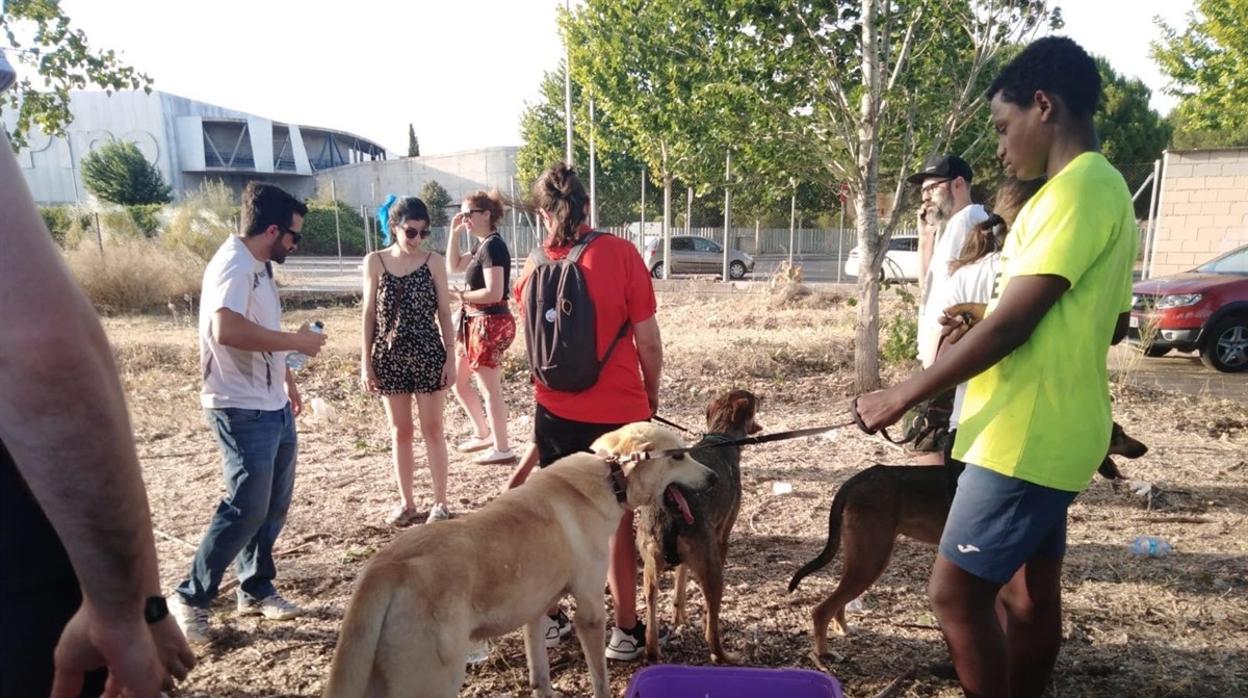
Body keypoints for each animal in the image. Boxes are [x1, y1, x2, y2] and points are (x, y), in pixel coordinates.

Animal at [633, 389, 758, 664]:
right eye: (755, 402)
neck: (721, 437)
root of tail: (668, 510)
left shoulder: (682, 560)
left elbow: (680, 580)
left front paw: (679, 615)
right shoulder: (721, 539)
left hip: (650, 573)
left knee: (650, 631)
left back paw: (654, 650)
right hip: (712, 571)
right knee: (712, 635)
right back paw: (725, 655)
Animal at [793, 424, 1143, 659]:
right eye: (1117, 435)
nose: (1144, 449)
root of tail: (855, 481)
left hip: (863, 559)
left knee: (837, 604)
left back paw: (844, 631)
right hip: (871, 561)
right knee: (821, 610)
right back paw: (823, 656)